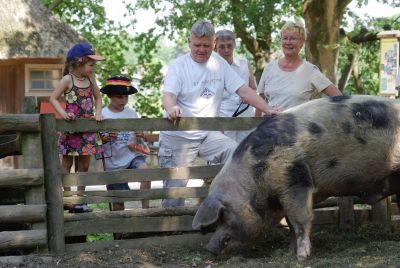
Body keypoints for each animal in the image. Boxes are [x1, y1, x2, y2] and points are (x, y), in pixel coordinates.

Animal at [192, 95, 400, 260]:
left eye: (223, 215)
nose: (209, 248)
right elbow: (291, 223)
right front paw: (290, 252)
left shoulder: (295, 179)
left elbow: (300, 218)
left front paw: (301, 258)